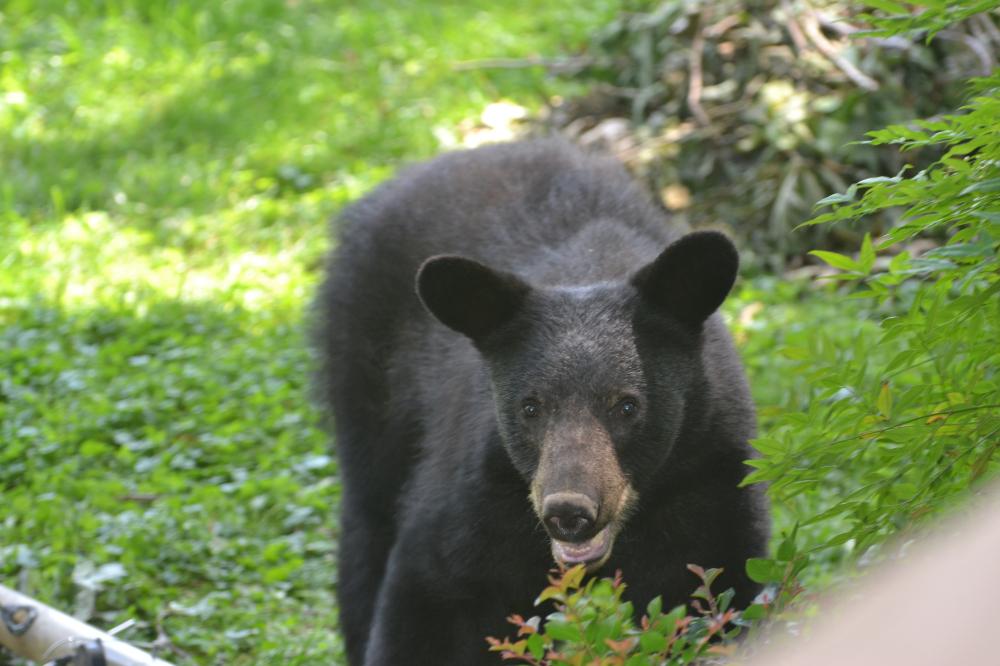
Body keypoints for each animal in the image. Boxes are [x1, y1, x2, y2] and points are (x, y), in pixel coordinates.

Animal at [316, 137, 768, 660]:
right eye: (530, 407)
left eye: (627, 406)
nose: (568, 512)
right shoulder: (480, 497)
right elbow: (427, 597)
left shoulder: (711, 482)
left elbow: (720, 592)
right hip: (368, 384)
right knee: (367, 529)